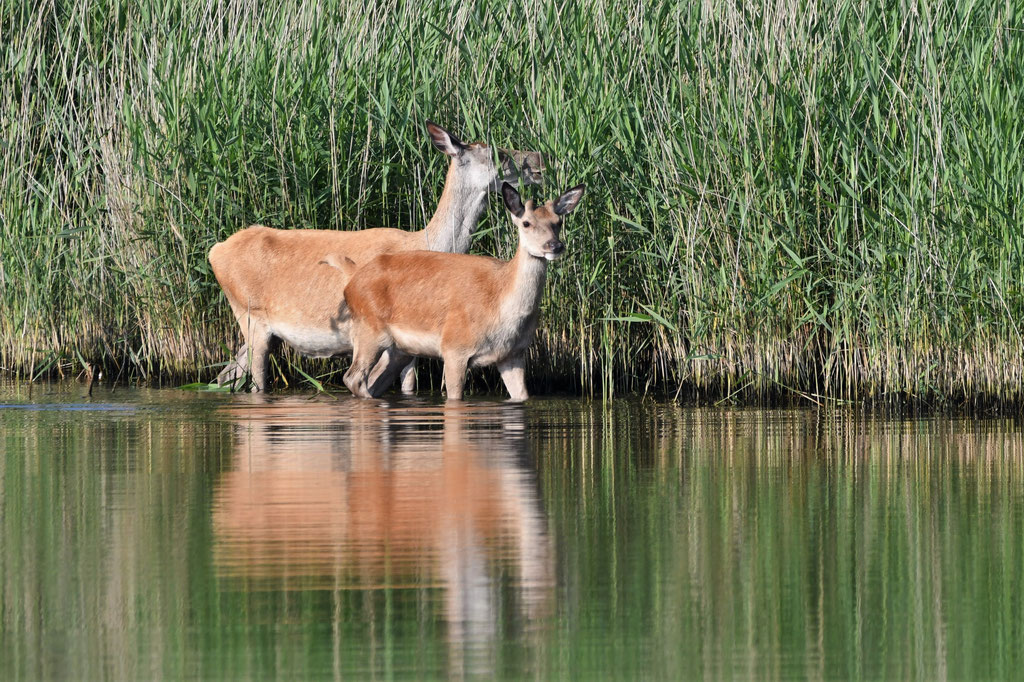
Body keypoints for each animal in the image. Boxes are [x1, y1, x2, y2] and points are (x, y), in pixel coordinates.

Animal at [206, 119, 544, 391]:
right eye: (497, 153)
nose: (539, 159)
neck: (427, 243)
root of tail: (215, 251)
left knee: (226, 375)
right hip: (250, 316)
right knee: (255, 381)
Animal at [344, 183, 585, 401]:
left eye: (558, 222)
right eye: (526, 223)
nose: (554, 246)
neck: (499, 302)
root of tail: (351, 283)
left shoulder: (513, 354)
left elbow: (522, 396)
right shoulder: (454, 347)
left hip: (399, 349)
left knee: (372, 379)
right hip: (369, 331)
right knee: (353, 378)